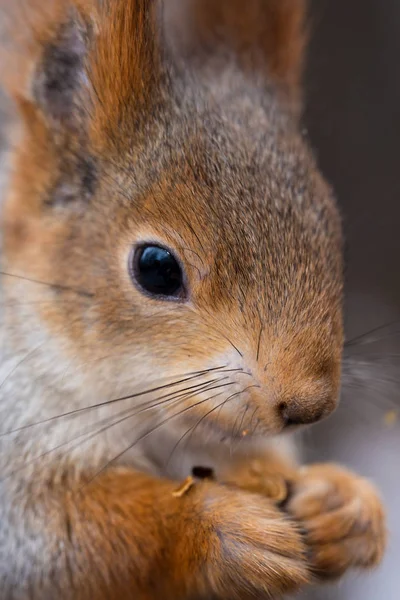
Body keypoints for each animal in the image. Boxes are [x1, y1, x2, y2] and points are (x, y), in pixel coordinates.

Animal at [0, 0, 388, 596]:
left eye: (330, 231)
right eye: (156, 269)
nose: (308, 406)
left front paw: (343, 506)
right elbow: (53, 538)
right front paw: (217, 527)